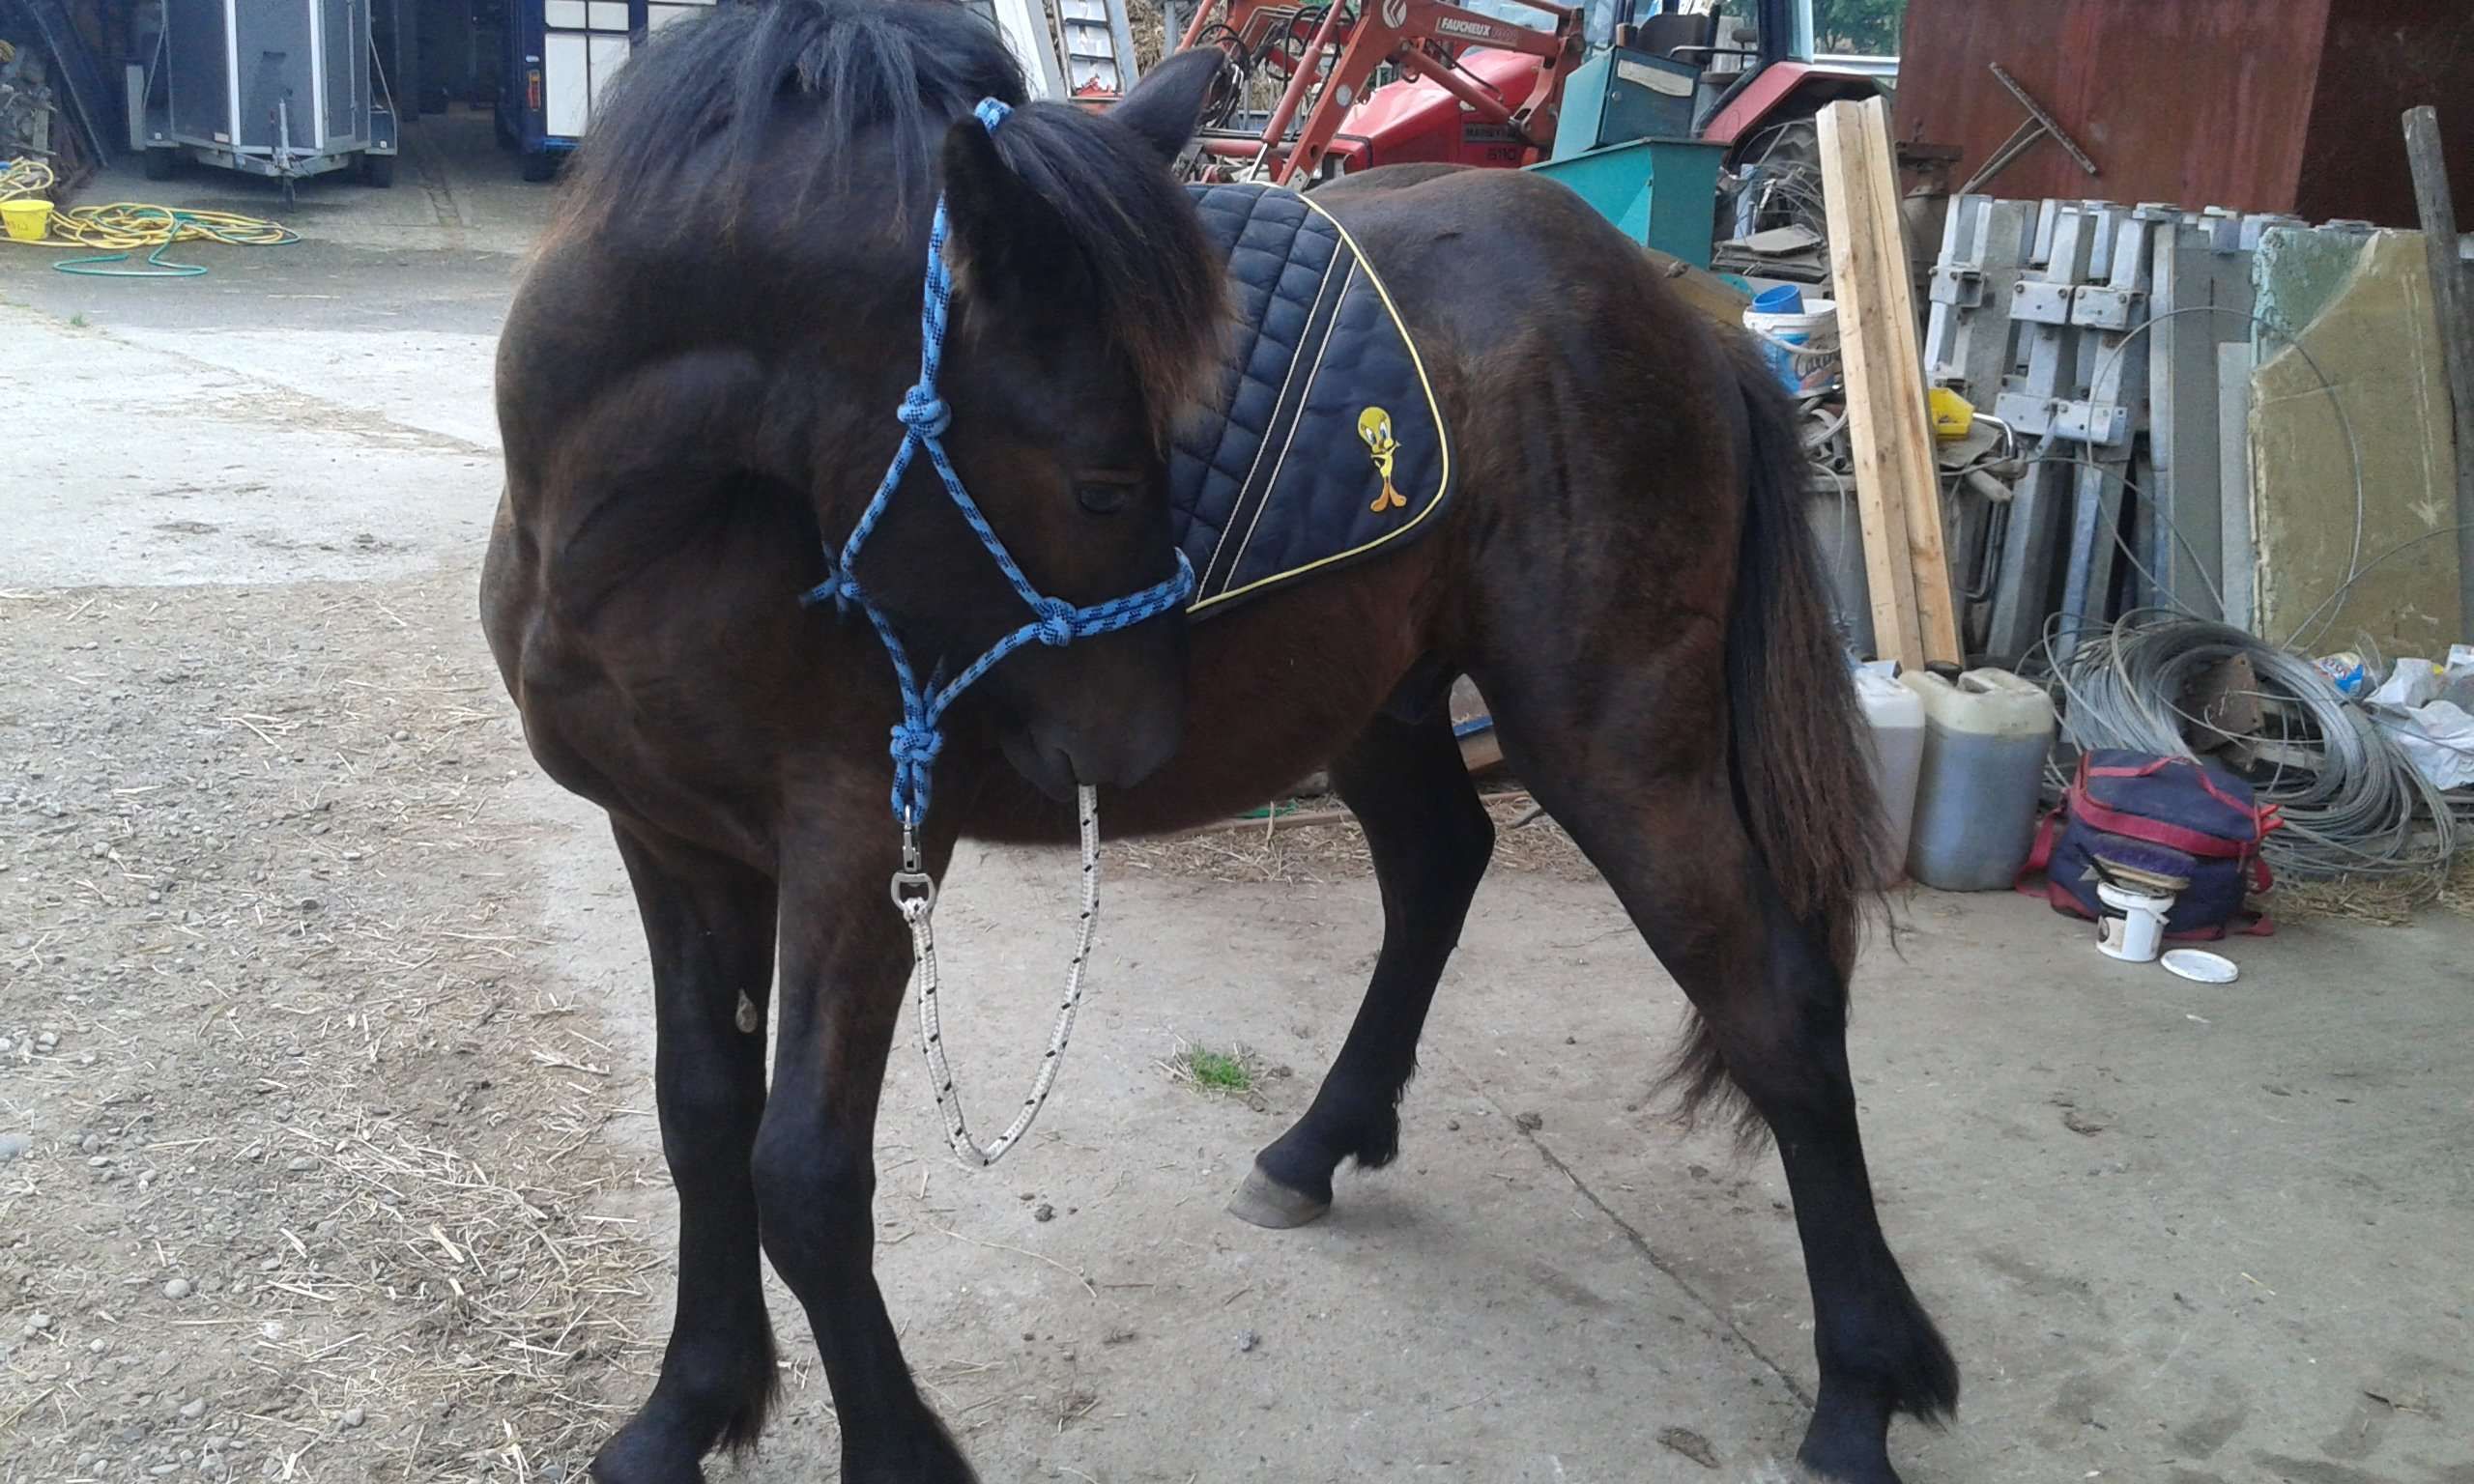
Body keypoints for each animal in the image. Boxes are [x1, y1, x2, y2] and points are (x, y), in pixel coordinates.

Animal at [481, 2, 1959, 1480]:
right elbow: (699, 1120)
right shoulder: (672, 842)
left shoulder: (858, 841)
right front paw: (688, 1409)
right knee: (1444, 865)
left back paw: (1863, 1386)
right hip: (1384, 702)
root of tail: (1677, 311)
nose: (1132, 741)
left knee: (1774, 1000)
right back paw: (1315, 1149)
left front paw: (883, 1449)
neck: (650, 536)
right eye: (1102, 481)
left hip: (1614, 737)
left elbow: (802, 1176)